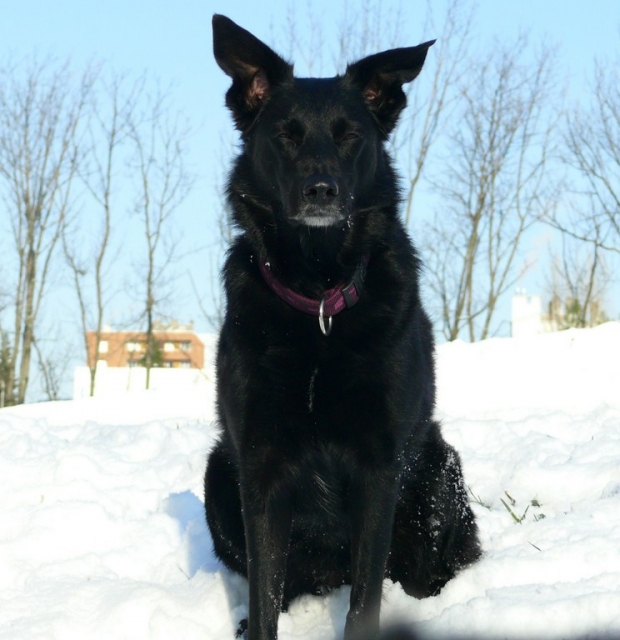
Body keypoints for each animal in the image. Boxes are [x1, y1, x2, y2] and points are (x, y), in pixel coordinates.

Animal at [206, 16, 482, 640]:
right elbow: (265, 594)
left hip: (437, 472)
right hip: (218, 475)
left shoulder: (380, 465)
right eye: (286, 135)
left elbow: (365, 602)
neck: (318, 301)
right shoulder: (258, 465)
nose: (321, 190)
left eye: (349, 135)